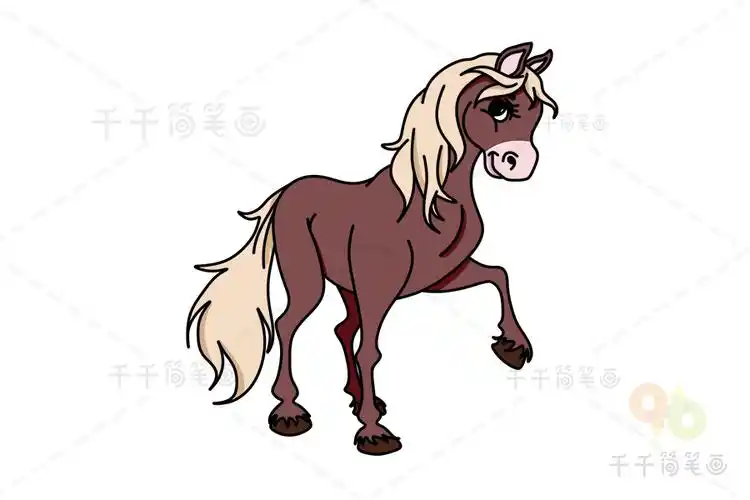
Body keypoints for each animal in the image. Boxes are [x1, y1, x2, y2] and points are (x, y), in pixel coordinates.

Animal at [187, 41, 558, 456]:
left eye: (538, 111)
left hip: (348, 287)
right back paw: (290, 412)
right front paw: (373, 433)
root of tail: (286, 193)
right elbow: (371, 351)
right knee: (289, 325)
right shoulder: (379, 289)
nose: (519, 164)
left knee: (342, 328)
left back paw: (359, 396)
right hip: (311, 284)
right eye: (499, 108)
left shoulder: (441, 278)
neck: (429, 203)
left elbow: (499, 276)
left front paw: (512, 347)